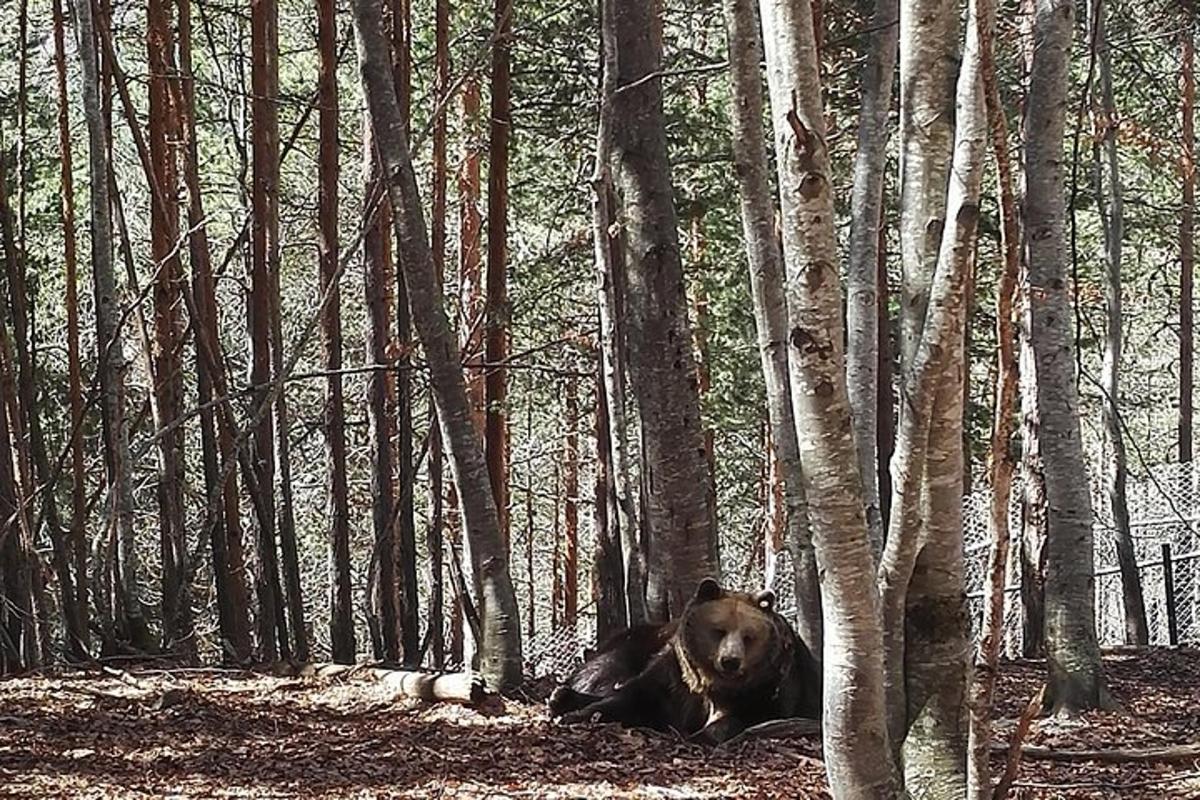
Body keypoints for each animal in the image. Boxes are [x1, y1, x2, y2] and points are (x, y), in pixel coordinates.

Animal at [549, 575, 820, 743]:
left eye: (748, 636)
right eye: (719, 630)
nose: (730, 661)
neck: (712, 684)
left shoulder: (768, 689)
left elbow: (745, 718)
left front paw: (703, 733)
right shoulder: (675, 674)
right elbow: (632, 698)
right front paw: (576, 715)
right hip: (632, 643)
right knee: (604, 673)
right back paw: (562, 697)